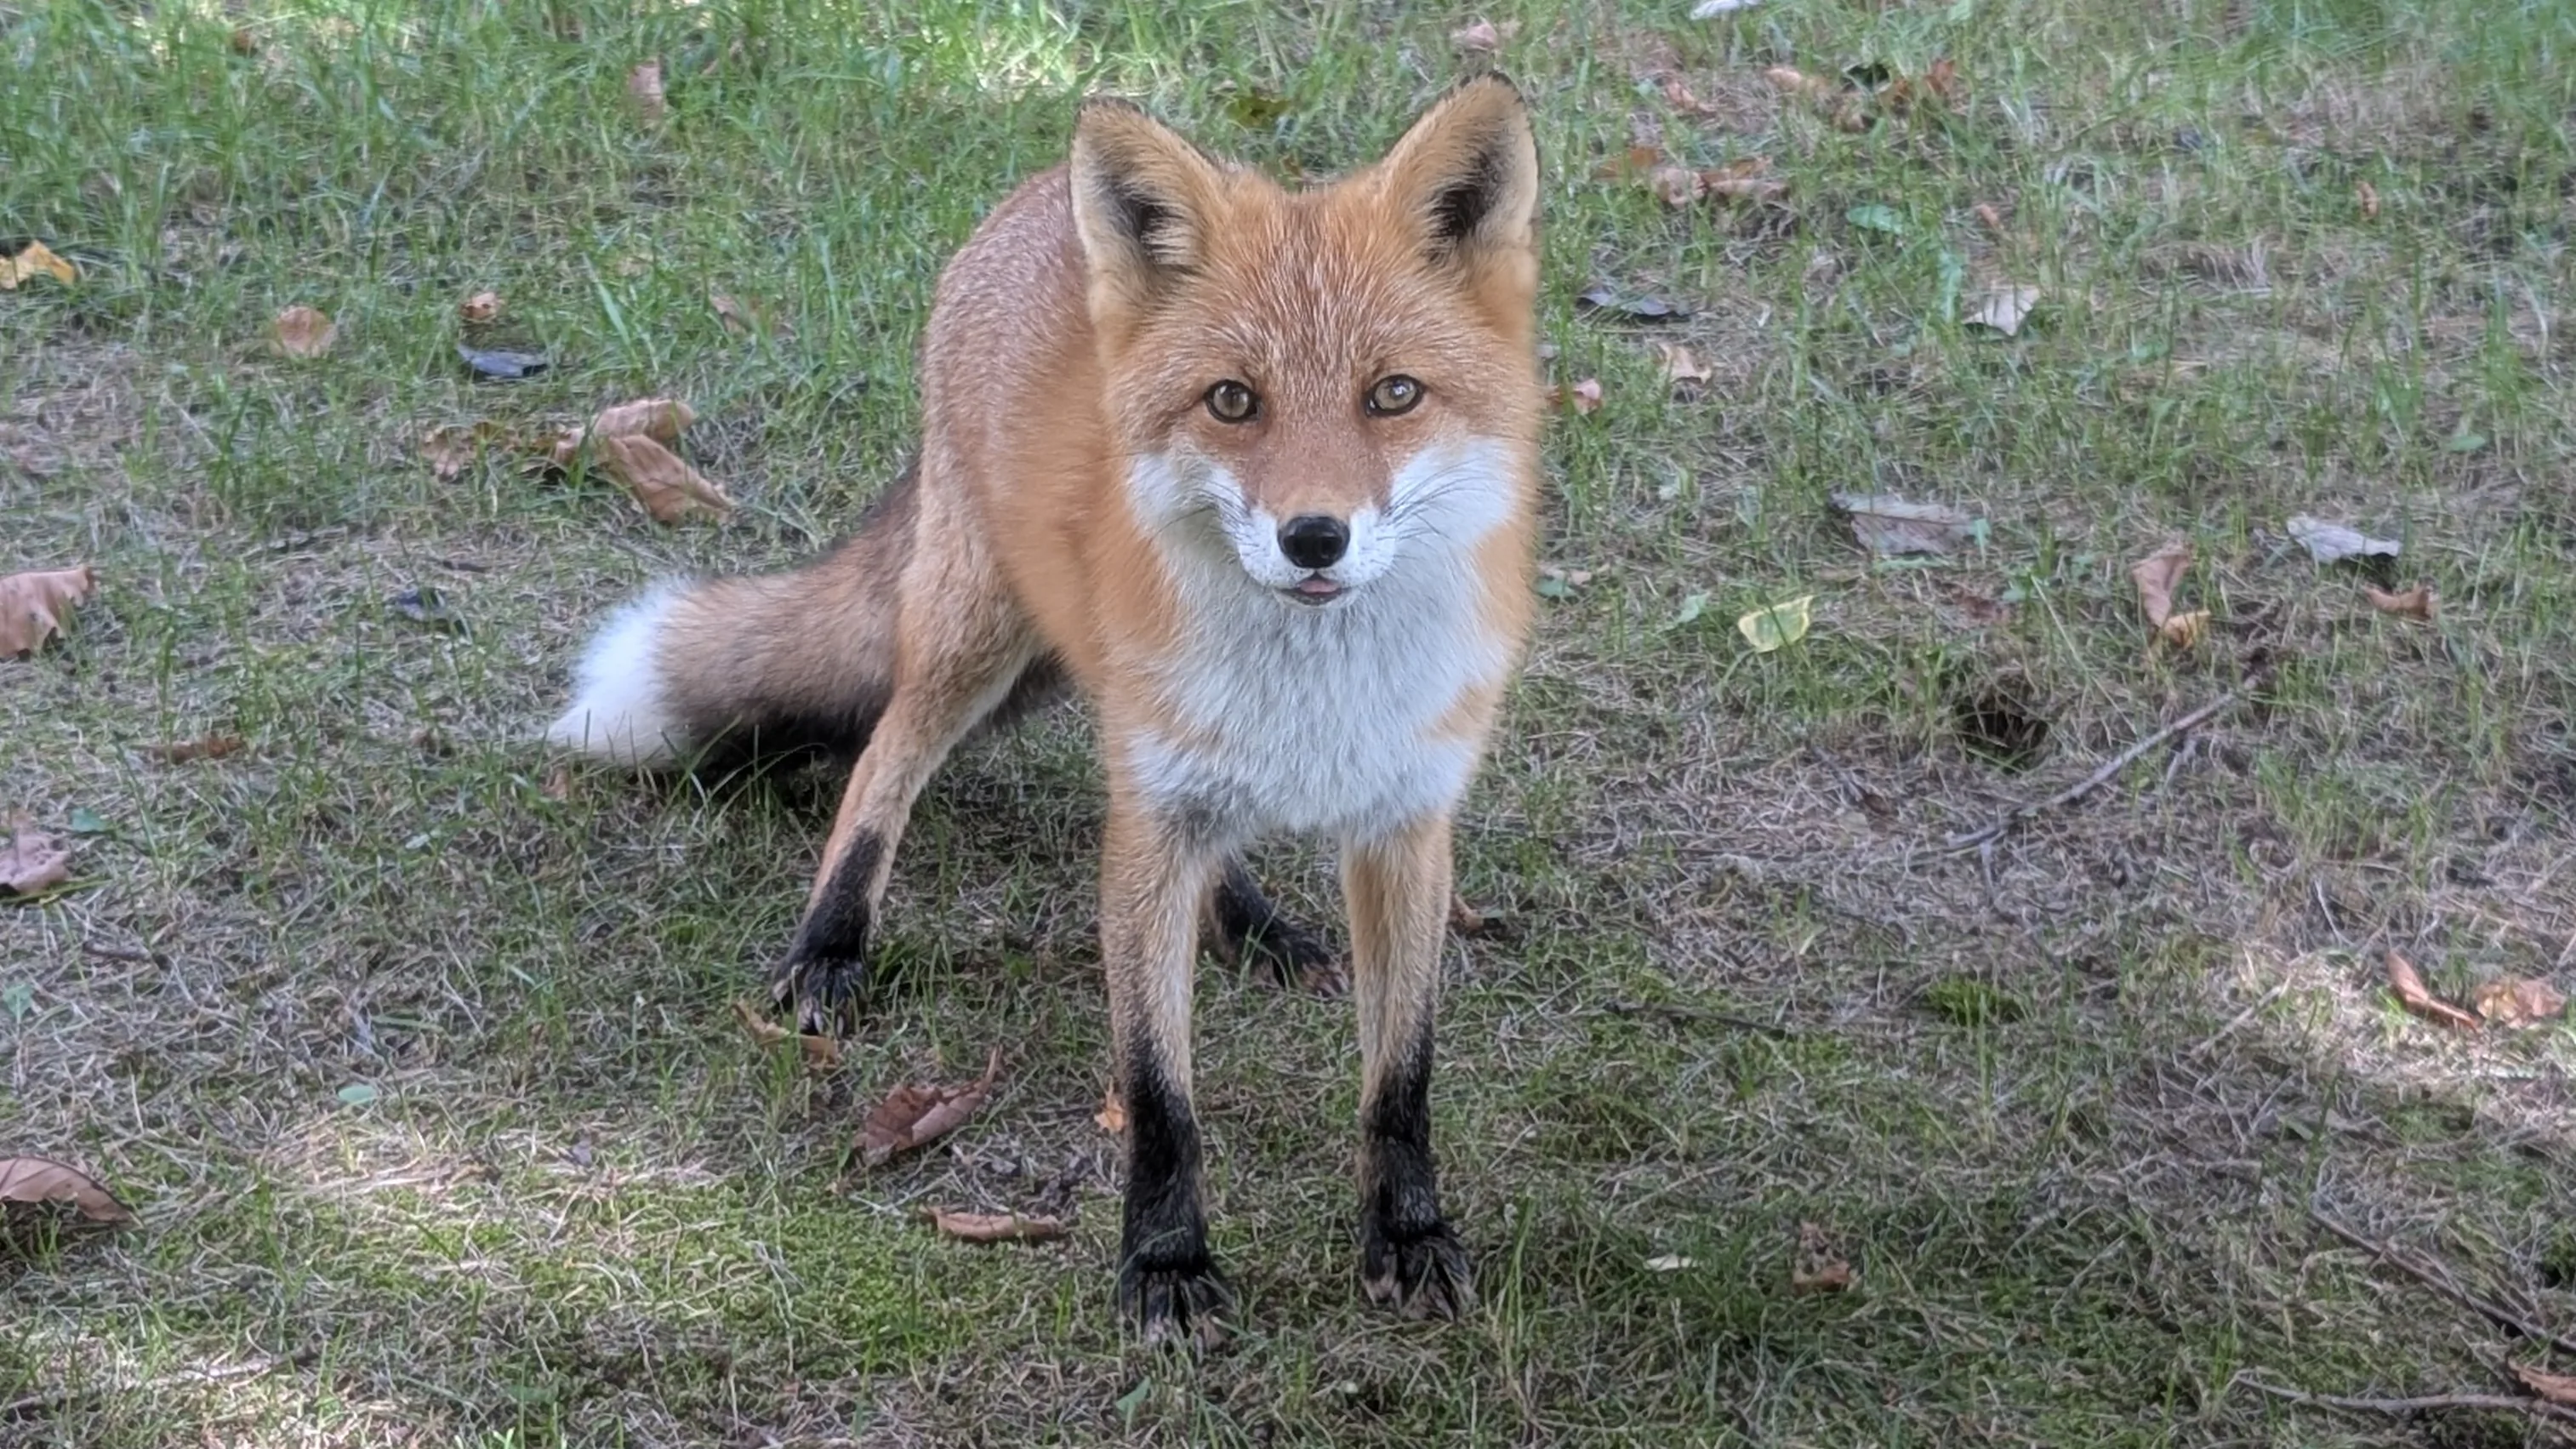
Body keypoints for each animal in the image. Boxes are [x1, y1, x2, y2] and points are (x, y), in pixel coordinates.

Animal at [545, 76, 1543, 1347]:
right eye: (1234, 400)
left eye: (1394, 394)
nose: (1313, 537)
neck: (1312, 689)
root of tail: (1024, 202)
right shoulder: (1153, 824)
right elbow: (1161, 1093)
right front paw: (1165, 1260)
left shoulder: (1404, 820)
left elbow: (1400, 1079)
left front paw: (1409, 1232)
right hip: (975, 636)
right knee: (882, 760)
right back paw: (830, 943)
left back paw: (1256, 924)